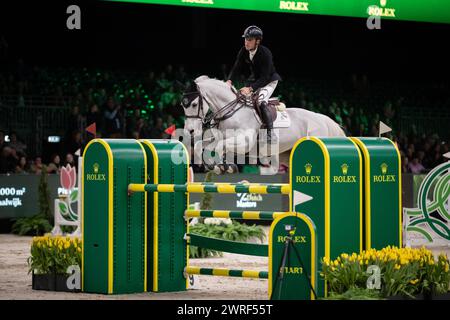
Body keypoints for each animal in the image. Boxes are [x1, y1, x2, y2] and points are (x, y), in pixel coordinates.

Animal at [181, 75, 342, 174]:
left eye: (194, 104)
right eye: (182, 105)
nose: (190, 131)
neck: (230, 112)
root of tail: (322, 118)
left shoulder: (244, 142)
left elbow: (220, 147)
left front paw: (224, 167)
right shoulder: (220, 137)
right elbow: (200, 145)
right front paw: (213, 166)